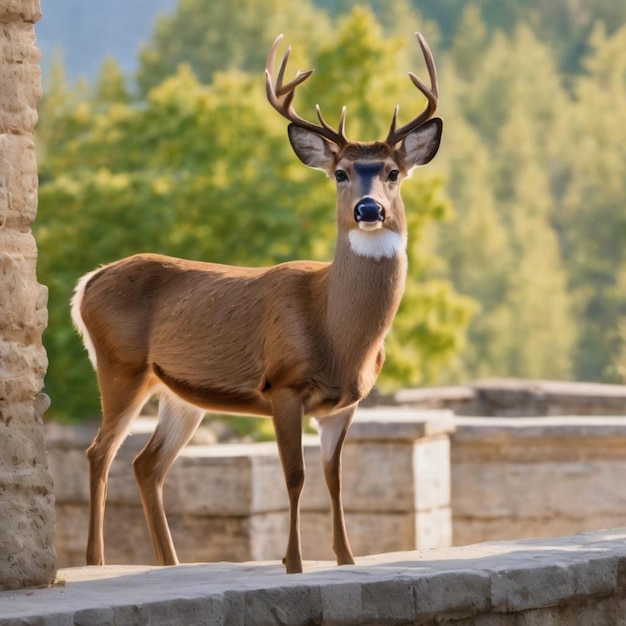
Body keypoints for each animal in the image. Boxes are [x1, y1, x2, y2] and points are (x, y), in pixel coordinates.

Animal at [70, 31, 442, 572]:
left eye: (393, 172)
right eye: (341, 173)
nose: (368, 209)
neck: (336, 333)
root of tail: (86, 284)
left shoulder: (344, 404)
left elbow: (335, 480)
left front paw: (346, 558)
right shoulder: (283, 384)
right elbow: (295, 476)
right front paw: (293, 562)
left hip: (178, 394)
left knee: (147, 463)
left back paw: (170, 563)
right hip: (120, 365)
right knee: (100, 453)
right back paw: (95, 562)